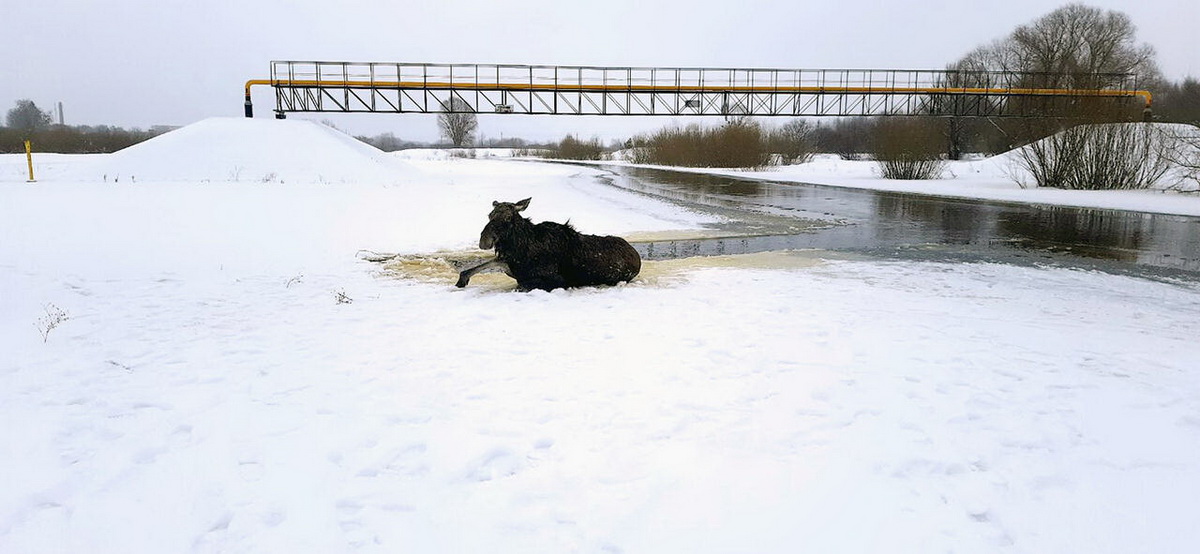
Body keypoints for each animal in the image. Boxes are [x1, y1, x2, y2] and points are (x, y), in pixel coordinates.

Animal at [453, 199, 643, 293]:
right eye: (489, 215)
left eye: (507, 217)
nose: (484, 241)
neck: (522, 247)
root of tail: (638, 257)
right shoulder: (508, 262)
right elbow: (482, 265)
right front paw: (462, 280)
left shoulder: (558, 280)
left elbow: (522, 285)